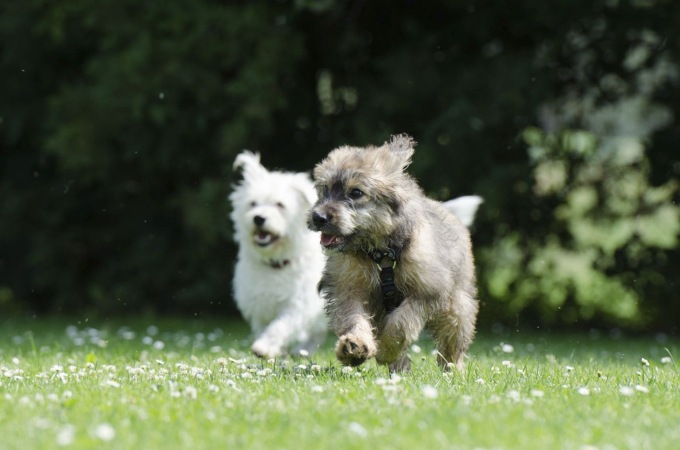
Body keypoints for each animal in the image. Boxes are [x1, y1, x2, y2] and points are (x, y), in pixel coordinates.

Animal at [230, 152, 328, 358]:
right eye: (253, 203)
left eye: (279, 205)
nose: (259, 218)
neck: (275, 262)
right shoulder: (259, 305)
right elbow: (264, 327)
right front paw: (273, 349)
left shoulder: (298, 304)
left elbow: (280, 326)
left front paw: (265, 346)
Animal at [308, 134, 478, 372]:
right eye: (325, 188)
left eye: (356, 192)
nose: (318, 217)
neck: (380, 255)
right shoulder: (348, 289)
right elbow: (353, 318)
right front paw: (355, 346)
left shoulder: (426, 291)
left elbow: (401, 324)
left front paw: (386, 350)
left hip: (457, 306)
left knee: (452, 342)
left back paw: (452, 370)